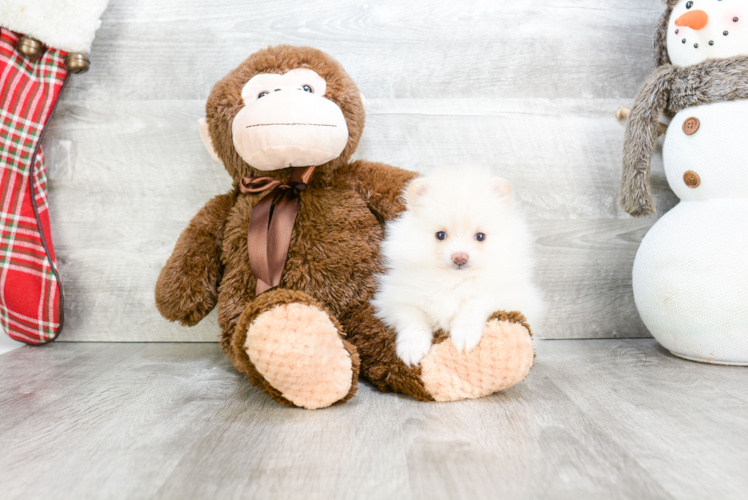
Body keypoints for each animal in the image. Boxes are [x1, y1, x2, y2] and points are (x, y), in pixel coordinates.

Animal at [374, 168, 544, 368]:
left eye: (480, 236)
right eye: (440, 235)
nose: (460, 257)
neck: (453, 279)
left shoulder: (506, 295)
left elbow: (473, 305)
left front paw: (465, 336)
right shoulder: (399, 299)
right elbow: (413, 321)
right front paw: (412, 349)